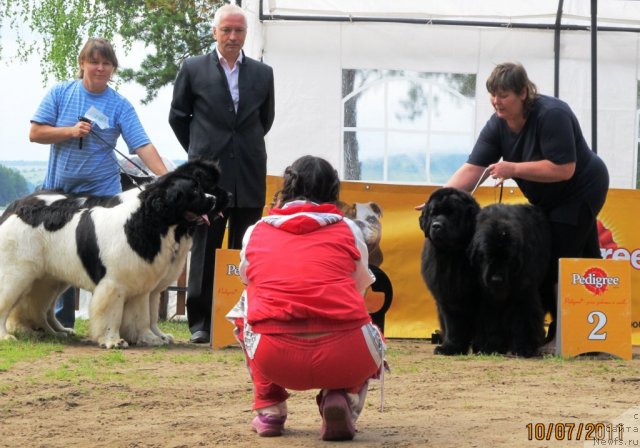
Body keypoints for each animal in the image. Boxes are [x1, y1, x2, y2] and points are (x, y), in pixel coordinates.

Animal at [0, 159, 229, 348]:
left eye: (201, 186)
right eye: (196, 191)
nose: (218, 198)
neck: (149, 222)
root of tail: (15, 207)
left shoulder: (143, 284)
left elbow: (144, 315)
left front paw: (151, 338)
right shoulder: (114, 284)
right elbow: (113, 313)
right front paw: (113, 340)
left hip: (47, 278)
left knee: (39, 307)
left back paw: (53, 333)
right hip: (17, 274)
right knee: (11, 303)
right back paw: (7, 336)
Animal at [420, 187, 480, 356]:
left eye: (452, 213)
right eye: (433, 213)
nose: (436, 225)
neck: (452, 255)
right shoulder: (448, 295)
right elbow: (453, 324)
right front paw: (450, 348)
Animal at [470, 203, 556, 356]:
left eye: (508, 258)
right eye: (487, 255)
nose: (496, 279)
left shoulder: (524, 292)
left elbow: (524, 318)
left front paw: (524, 347)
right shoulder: (485, 296)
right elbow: (489, 320)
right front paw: (489, 346)